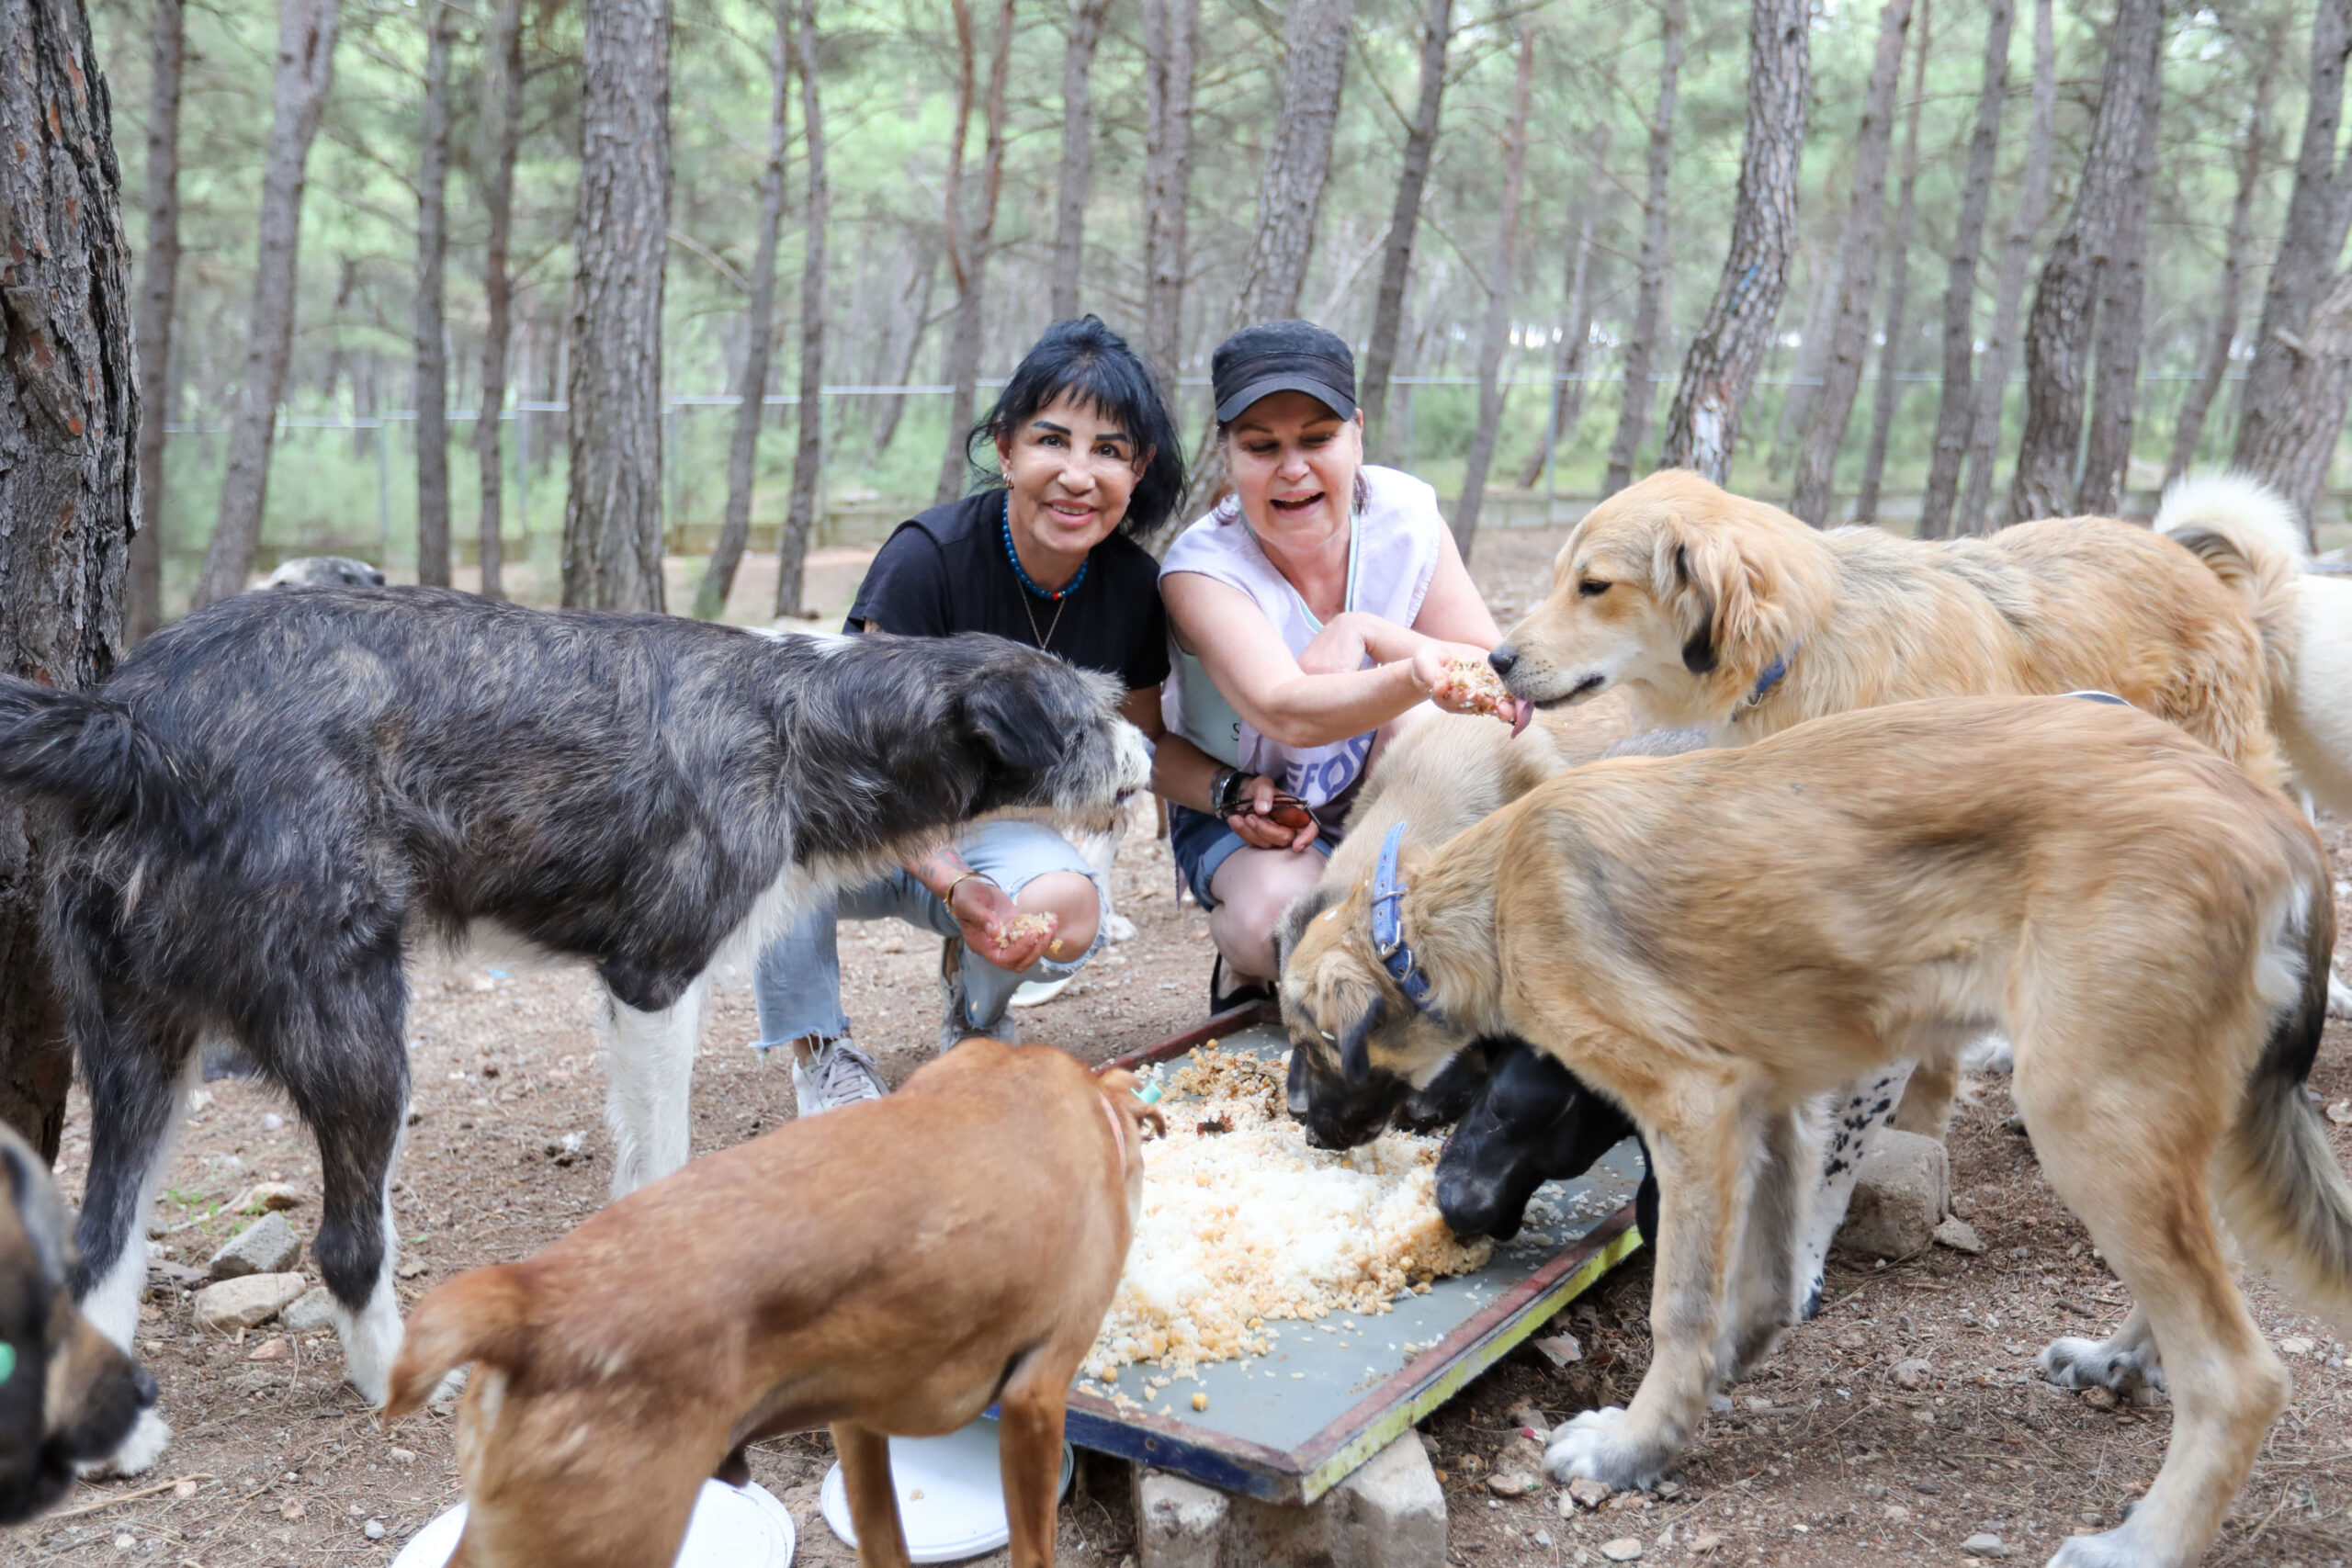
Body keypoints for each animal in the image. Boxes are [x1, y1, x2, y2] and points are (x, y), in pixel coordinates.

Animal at [0, 585, 1148, 1476]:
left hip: (139, 1049)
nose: (1145, 743)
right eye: (1089, 717)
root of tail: (130, 720)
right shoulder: (656, 979)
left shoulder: (642, 995)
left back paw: (116, 1442)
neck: (807, 717)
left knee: (104, 1242)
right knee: (344, 1243)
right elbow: (664, 1153)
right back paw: (395, 1370)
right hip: (359, 1037)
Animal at [1288, 695, 2352, 1568]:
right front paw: (1706, 1389)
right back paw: (2119, 1360)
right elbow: (1759, 1281)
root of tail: (2285, 826)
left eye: (1305, 1036)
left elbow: (1680, 1304)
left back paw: (2143, 1542)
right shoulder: (1767, 1105)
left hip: (2084, 1111)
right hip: (2164, 1115)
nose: (1298, 1124)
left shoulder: (1690, 1107)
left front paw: (1633, 1446)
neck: (1488, 898)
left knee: (2239, 1373)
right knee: (2211, 1275)